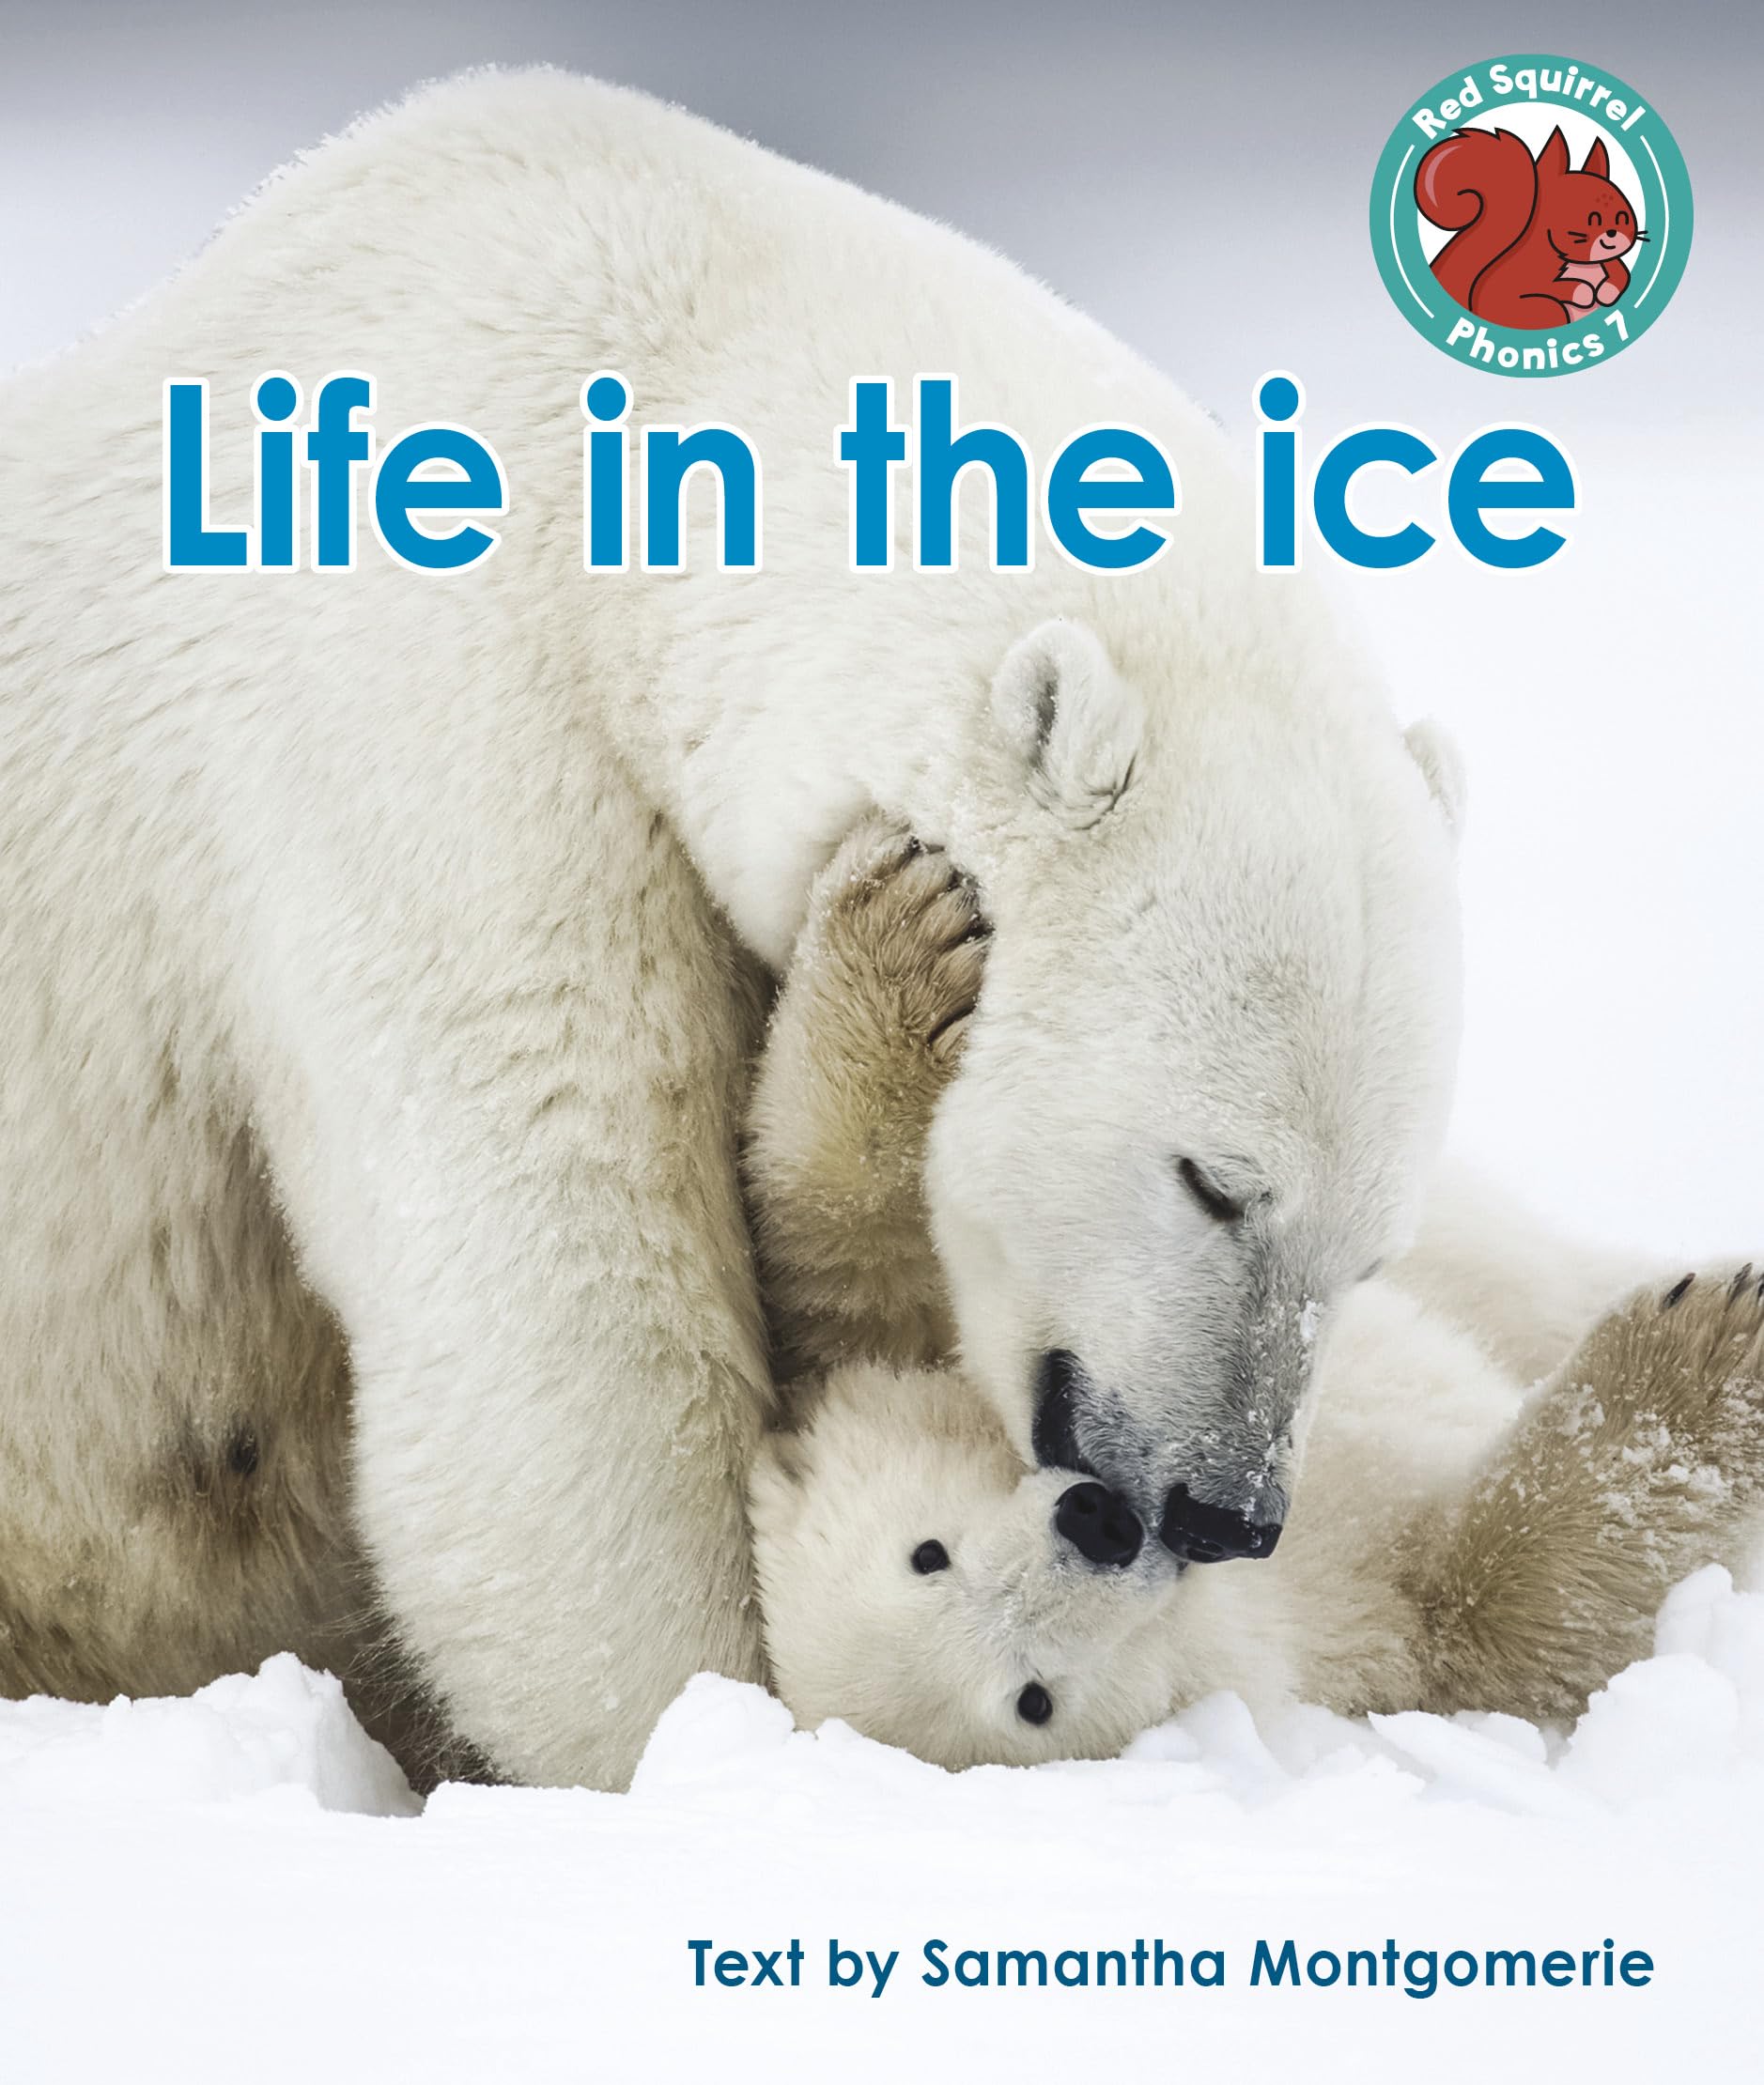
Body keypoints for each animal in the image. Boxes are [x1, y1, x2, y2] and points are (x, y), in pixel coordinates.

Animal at [1415, 125, 1643, 330]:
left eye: (1623, 217)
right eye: (1592, 219)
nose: (1612, 233)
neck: (1584, 264)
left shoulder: (1611, 262)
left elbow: (1621, 276)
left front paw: (1606, 291)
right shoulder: (1532, 274)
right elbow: (1550, 286)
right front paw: (1582, 290)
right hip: (1547, 310)